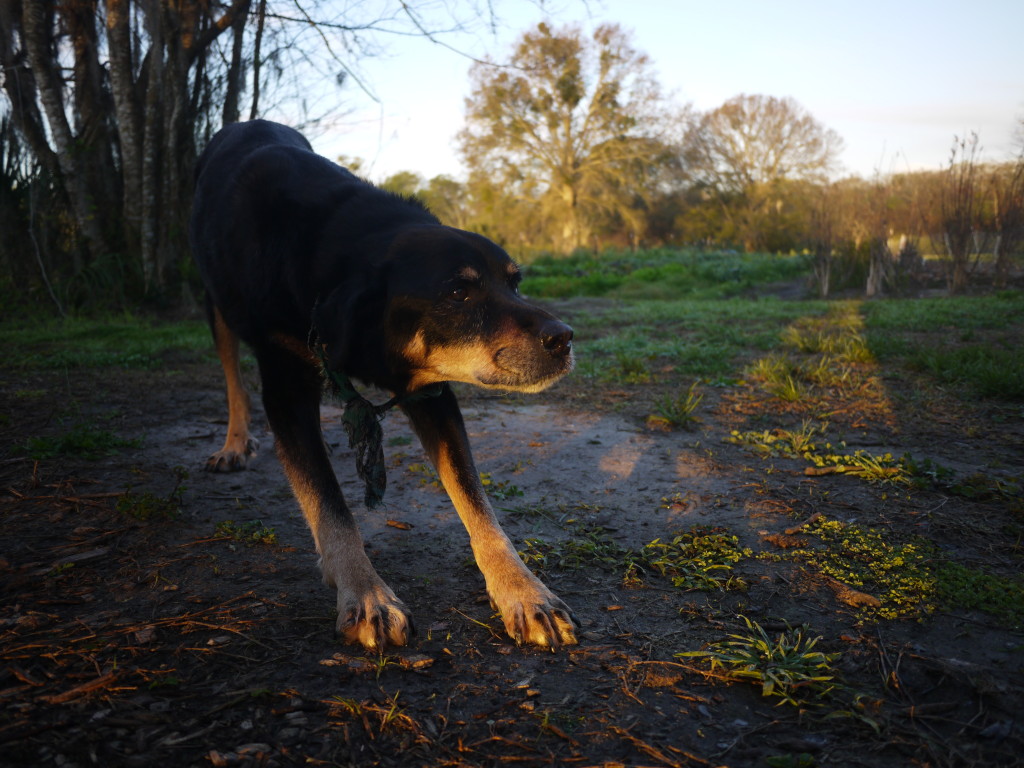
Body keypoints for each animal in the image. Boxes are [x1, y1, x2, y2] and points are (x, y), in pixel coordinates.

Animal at [189, 120, 581, 651]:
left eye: (514, 283)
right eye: (458, 292)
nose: (563, 338)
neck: (327, 251)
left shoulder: (431, 392)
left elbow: (478, 503)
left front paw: (523, 592)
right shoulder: (287, 387)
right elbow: (330, 505)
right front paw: (366, 595)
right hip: (215, 304)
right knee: (232, 376)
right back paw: (233, 444)